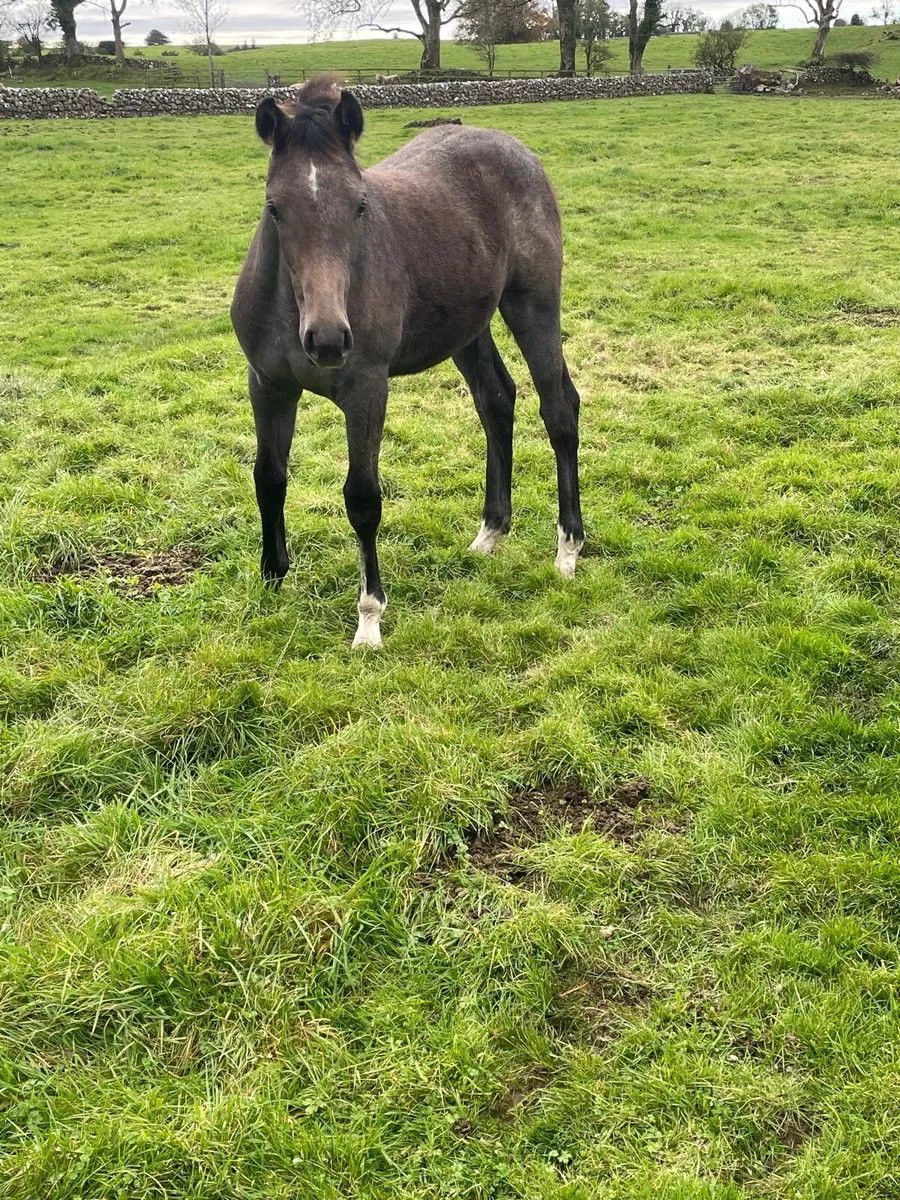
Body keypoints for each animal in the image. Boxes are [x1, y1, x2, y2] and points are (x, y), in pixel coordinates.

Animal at [231, 77, 584, 649]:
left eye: (360, 206)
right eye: (274, 207)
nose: (327, 340)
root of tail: (514, 147)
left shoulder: (366, 391)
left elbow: (362, 498)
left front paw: (369, 619)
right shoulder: (268, 384)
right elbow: (269, 477)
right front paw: (271, 578)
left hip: (533, 304)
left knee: (559, 409)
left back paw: (568, 548)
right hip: (466, 326)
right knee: (496, 399)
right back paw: (489, 533)